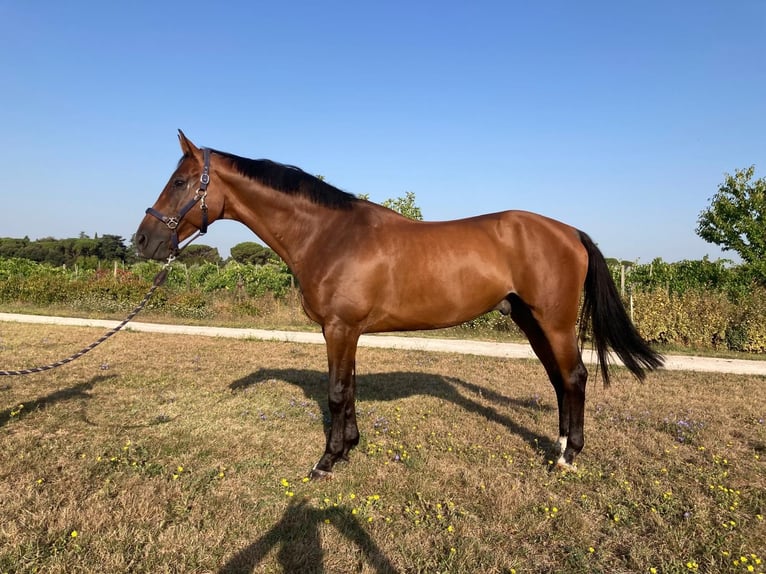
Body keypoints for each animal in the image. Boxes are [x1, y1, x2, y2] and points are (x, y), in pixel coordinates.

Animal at [138, 133, 664, 480]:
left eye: (181, 181)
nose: (144, 241)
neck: (329, 235)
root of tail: (570, 231)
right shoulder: (345, 331)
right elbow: (349, 389)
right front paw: (349, 448)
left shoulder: (339, 327)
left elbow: (336, 392)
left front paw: (326, 462)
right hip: (530, 321)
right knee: (559, 380)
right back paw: (557, 446)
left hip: (553, 322)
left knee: (574, 377)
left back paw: (567, 456)